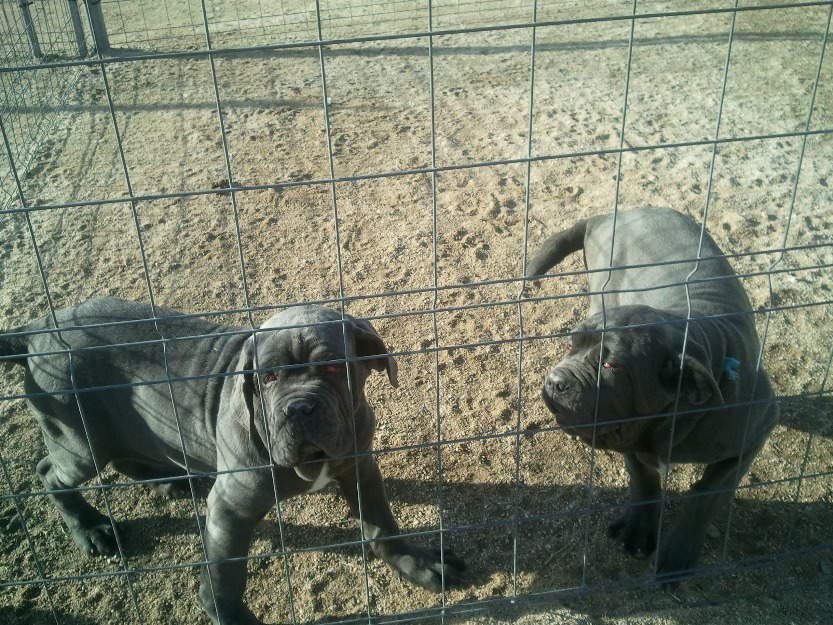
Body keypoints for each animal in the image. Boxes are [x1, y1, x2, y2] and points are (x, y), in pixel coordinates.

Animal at [0, 298, 464, 624]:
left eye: (334, 368)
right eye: (268, 377)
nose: (298, 409)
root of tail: (38, 327)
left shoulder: (359, 466)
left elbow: (382, 523)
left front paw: (417, 565)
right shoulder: (230, 510)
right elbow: (225, 577)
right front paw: (231, 615)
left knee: (126, 458)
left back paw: (169, 480)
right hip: (80, 438)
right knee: (51, 474)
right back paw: (92, 528)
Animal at [528, 207, 780, 584]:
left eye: (610, 365)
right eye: (571, 343)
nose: (557, 380)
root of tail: (611, 214)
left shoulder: (755, 433)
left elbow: (706, 496)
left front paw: (676, 555)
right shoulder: (632, 436)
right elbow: (644, 480)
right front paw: (638, 531)